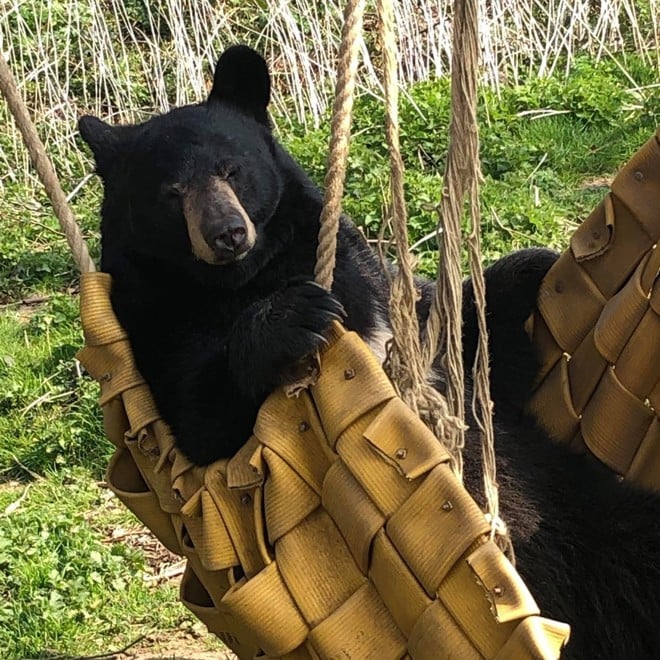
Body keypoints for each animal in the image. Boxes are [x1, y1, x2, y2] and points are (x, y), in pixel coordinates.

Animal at [81, 43, 660, 656]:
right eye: (170, 194)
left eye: (231, 168)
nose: (226, 233)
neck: (242, 280)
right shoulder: (154, 321)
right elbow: (199, 414)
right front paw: (293, 316)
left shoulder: (377, 292)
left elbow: (468, 344)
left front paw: (536, 269)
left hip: (577, 504)